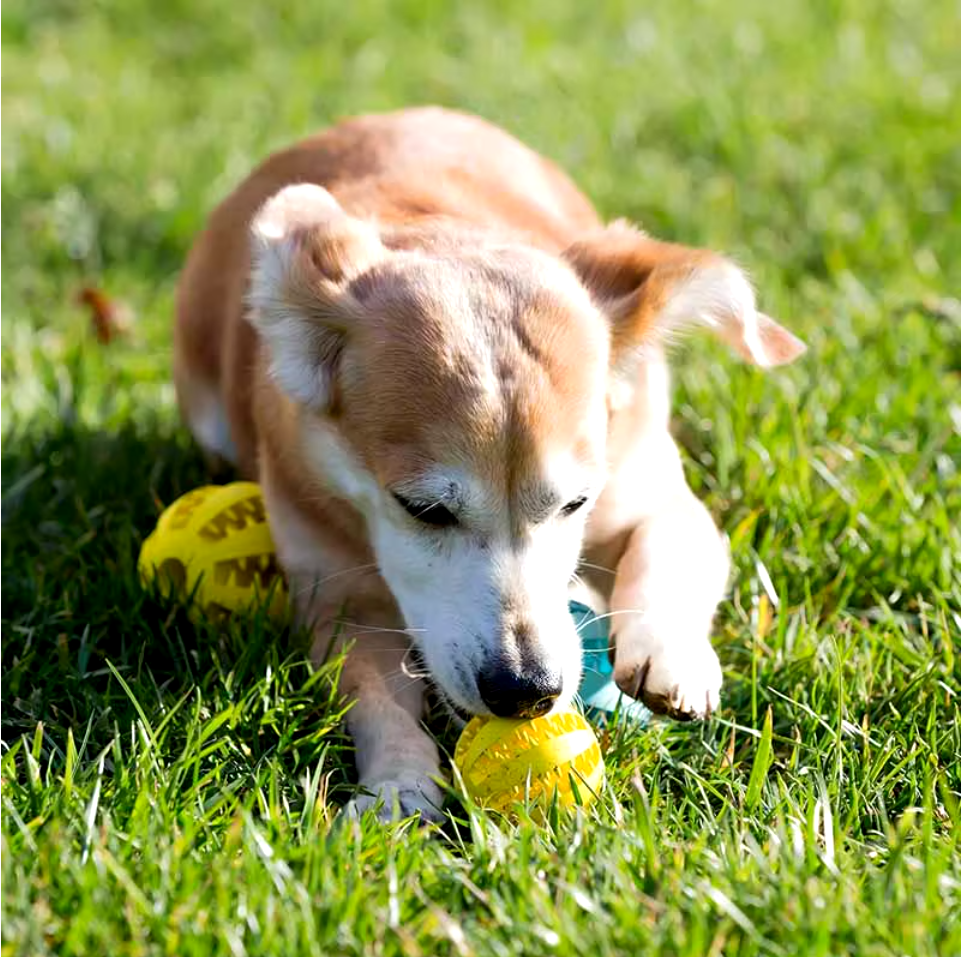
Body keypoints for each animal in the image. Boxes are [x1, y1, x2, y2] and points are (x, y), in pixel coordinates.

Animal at [172, 106, 804, 820]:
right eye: (422, 509)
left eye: (576, 503)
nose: (527, 689)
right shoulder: (339, 600)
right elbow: (373, 696)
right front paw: (397, 782)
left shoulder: (652, 491)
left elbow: (668, 544)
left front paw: (669, 655)